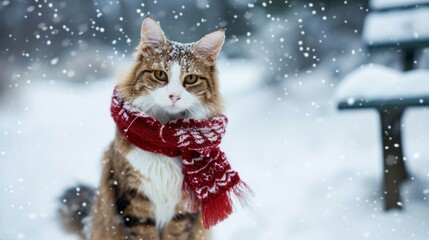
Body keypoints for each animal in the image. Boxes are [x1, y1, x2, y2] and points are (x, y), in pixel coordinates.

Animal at [59, 17, 226, 240]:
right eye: (160, 75)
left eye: (190, 79)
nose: (174, 96)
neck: (165, 141)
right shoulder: (135, 201)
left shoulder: (183, 210)